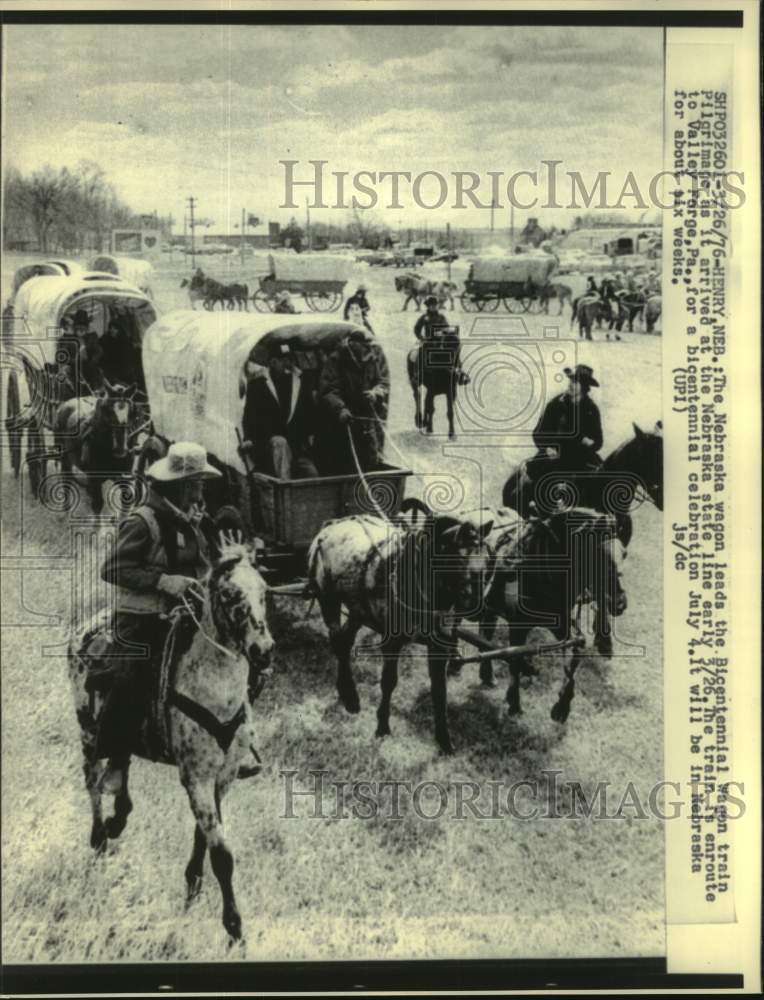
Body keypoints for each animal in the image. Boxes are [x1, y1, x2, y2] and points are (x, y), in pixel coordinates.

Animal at [53, 376, 140, 512]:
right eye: (107, 410)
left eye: (132, 412)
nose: (120, 449)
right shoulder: (94, 478)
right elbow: (97, 504)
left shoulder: (124, 475)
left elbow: (127, 499)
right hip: (64, 458)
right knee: (66, 481)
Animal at [67, 540, 274, 944]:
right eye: (229, 594)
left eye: (264, 591)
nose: (264, 650)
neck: (214, 689)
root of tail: (86, 627)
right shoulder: (196, 776)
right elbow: (222, 854)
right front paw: (234, 927)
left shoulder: (222, 777)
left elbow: (204, 835)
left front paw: (193, 884)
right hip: (88, 732)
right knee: (93, 782)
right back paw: (100, 837)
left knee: (120, 766)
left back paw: (118, 819)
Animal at [308, 500, 492, 752]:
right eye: (459, 559)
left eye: (488, 559)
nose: (476, 605)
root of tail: (331, 526)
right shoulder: (392, 642)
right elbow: (389, 682)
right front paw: (382, 728)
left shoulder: (440, 645)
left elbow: (439, 689)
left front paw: (444, 741)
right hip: (328, 600)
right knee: (337, 641)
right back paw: (350, 695)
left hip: (358, 608)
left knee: (345, 641)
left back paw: (349, 696)